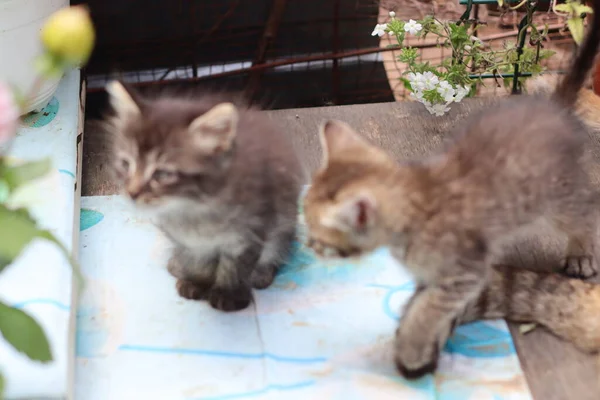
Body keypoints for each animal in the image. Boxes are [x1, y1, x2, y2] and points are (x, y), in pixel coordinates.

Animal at [102, 82, 304, 312]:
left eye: (162, 174)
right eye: (126, 164)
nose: (132, 192)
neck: (193, 207)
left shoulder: (249, 232)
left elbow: (235, 266)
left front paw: (228, 294)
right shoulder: (191, 242)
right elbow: (200, 262)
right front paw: (197, 282)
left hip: (284, 223)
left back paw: (261, 274)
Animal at [302, 2, 600, 378]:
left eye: (319, 238)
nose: (307, 246)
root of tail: (554, 109)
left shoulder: (464, 272)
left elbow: (429, 308)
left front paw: (413, 345)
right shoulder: (431, 276)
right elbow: (424, 303)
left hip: (559, 196)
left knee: (587, 211)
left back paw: (581, 255)